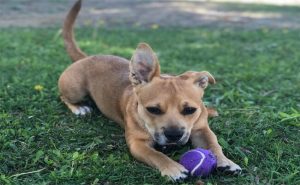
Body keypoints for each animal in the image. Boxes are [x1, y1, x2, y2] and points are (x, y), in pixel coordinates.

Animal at [58, 0, 241, 181]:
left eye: (190, 110)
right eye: (153, 109)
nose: (173, 135)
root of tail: (85, 57)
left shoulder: (202, 130)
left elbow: (214, 144)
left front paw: (225, 161)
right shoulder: (137, 144)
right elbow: (156, 155)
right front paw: (173, 168)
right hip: (75, 89)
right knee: (63, 97)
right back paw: (79, 108)